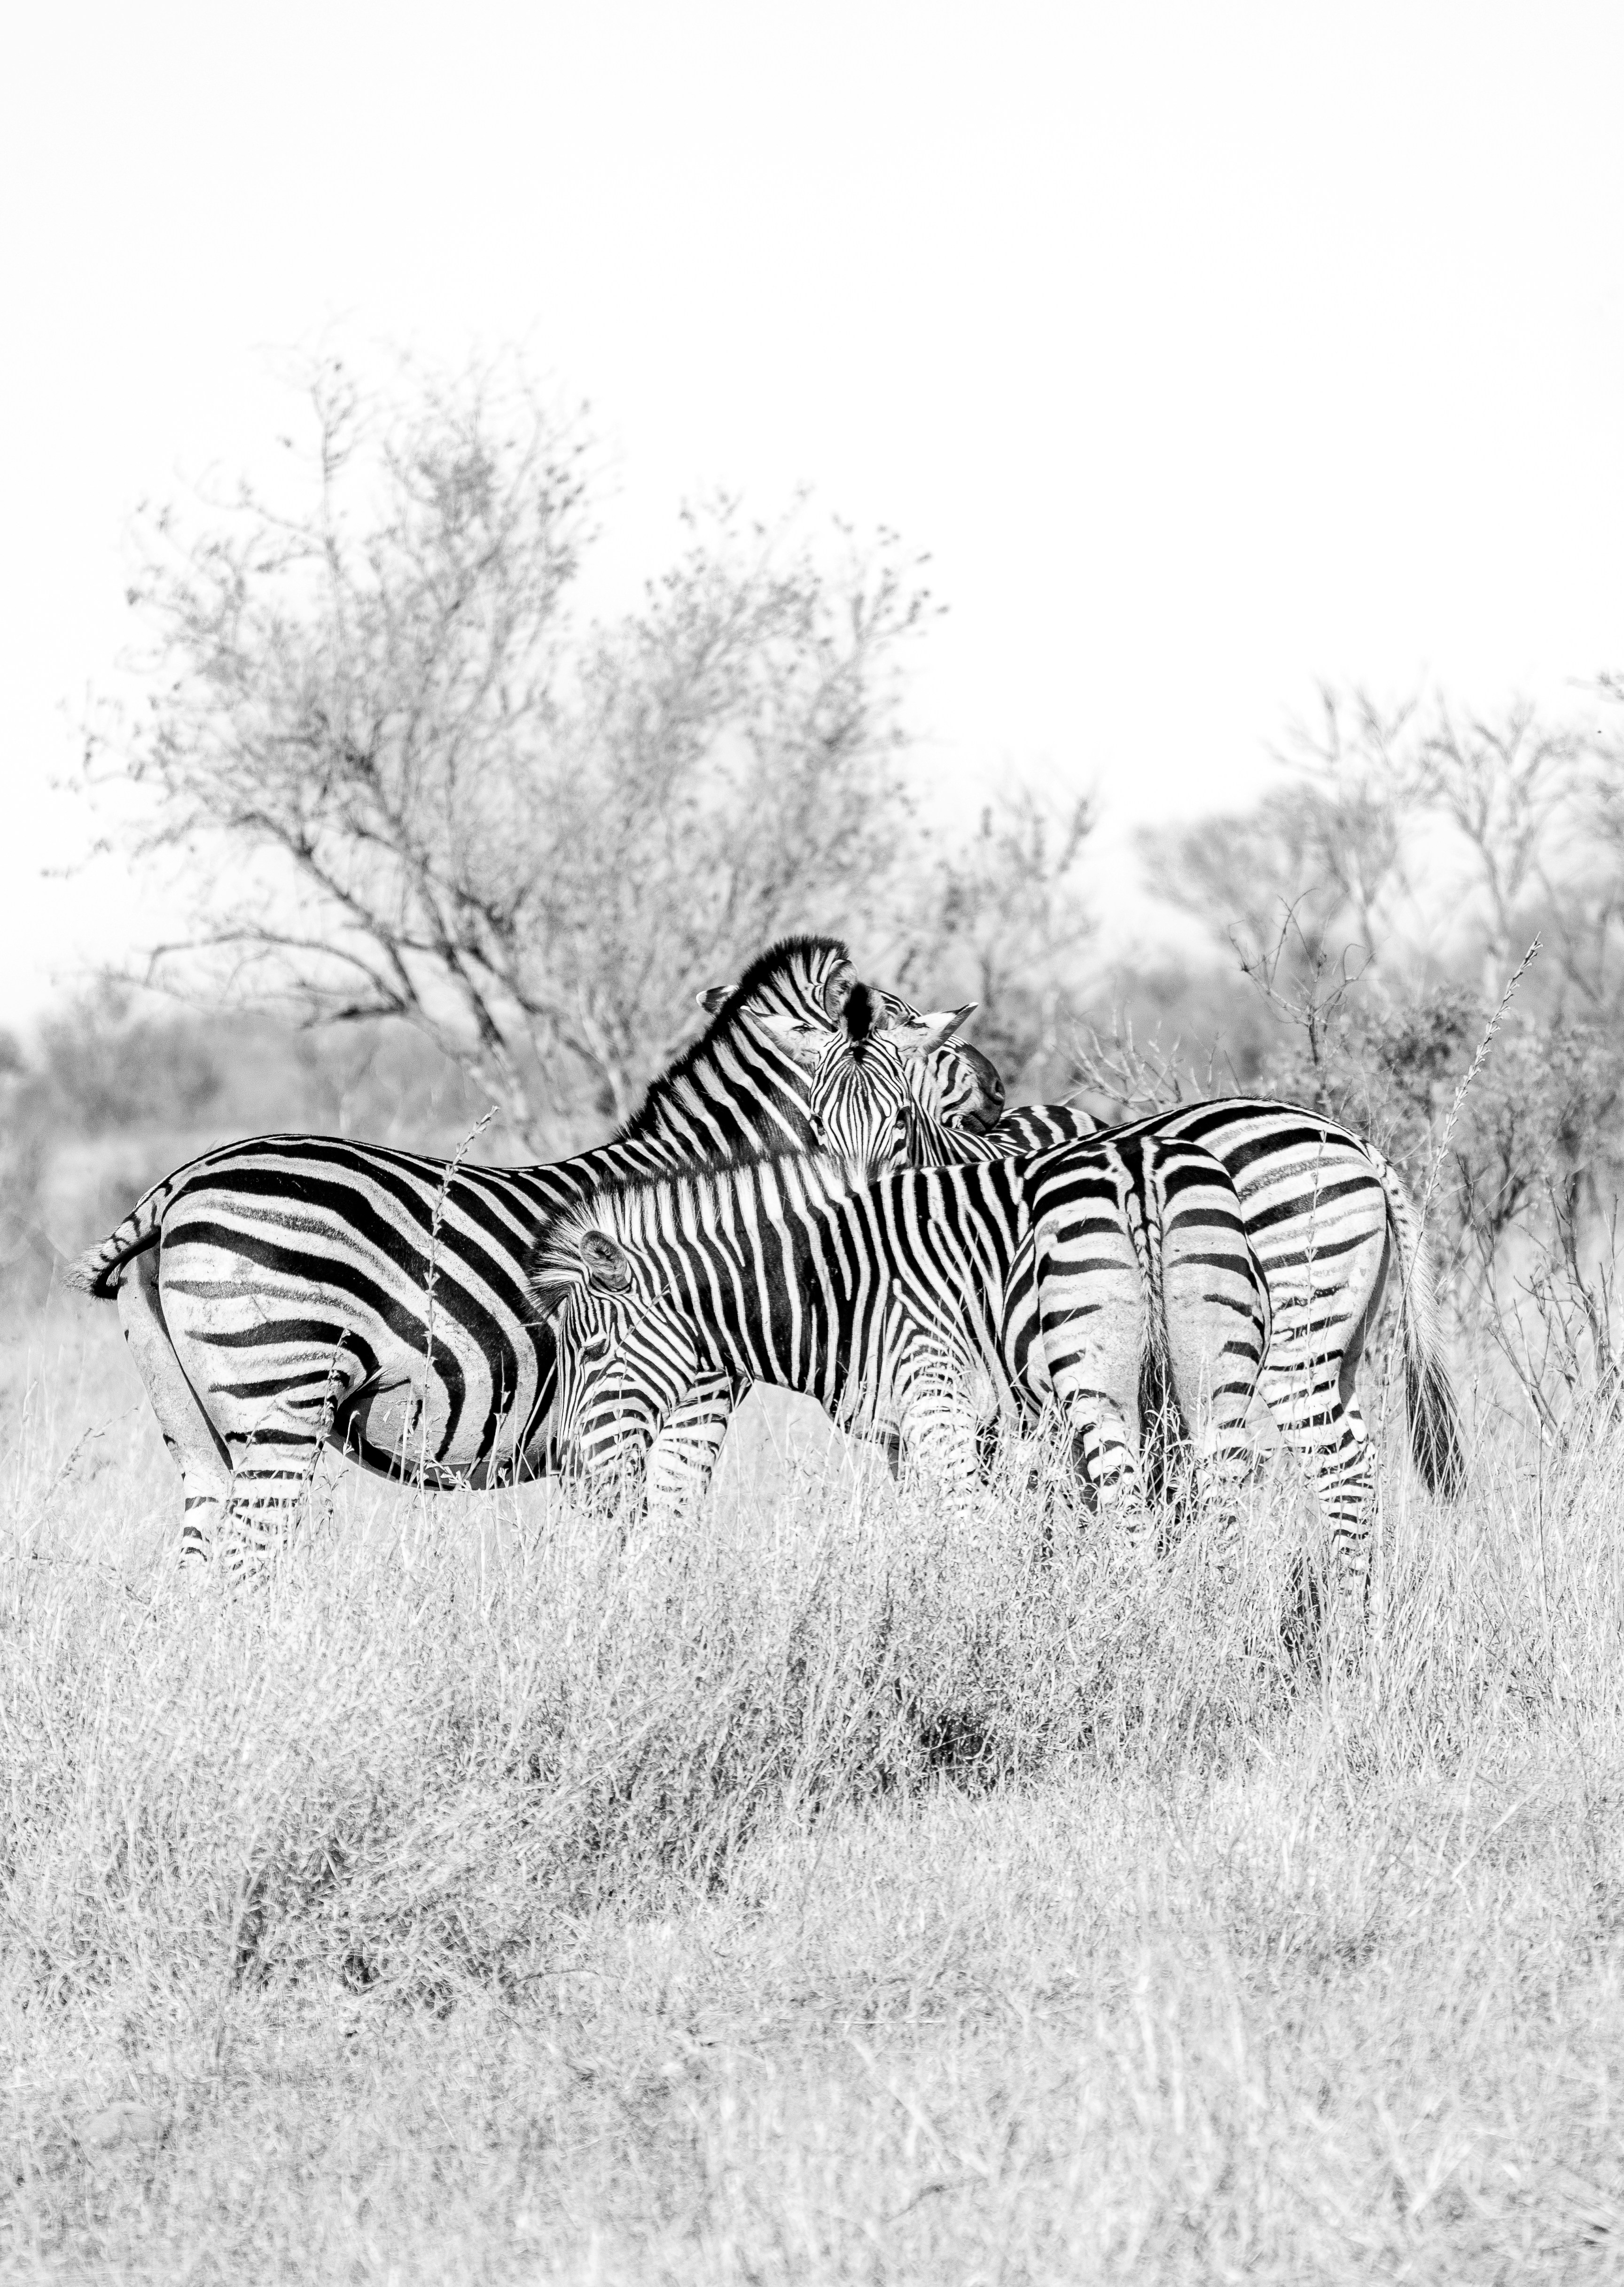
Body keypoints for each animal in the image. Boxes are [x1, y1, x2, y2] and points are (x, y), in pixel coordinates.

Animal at [64, 936, 978, 1568]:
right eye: (825, 1125)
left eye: (902, 1123)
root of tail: (179, 1184)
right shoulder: (693, 1401)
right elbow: (668, 1543)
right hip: (282, 1394)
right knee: (248, 1558)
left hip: (197, 1430)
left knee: (199, 1565)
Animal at [527, 1134, 1271, 1561]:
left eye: (591, 1349)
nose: (569, 1473)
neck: (838, 1279)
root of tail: (1135, 1164)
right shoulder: (905, 1438)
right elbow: (924, 1533)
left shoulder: (937, 1410)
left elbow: (970, 1531)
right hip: (1212, 1379)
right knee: (1226, 1516)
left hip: (1097, 1388)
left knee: (1132, 1518)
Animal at [846, 1072, 1464, 1628]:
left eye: (899, 1121)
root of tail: (1359, 1145)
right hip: (1339, 1345)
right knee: (1361, 1459)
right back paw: (1366, 1616)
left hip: (1293, 1337)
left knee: (1340, 1469)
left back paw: (1347, 1627)